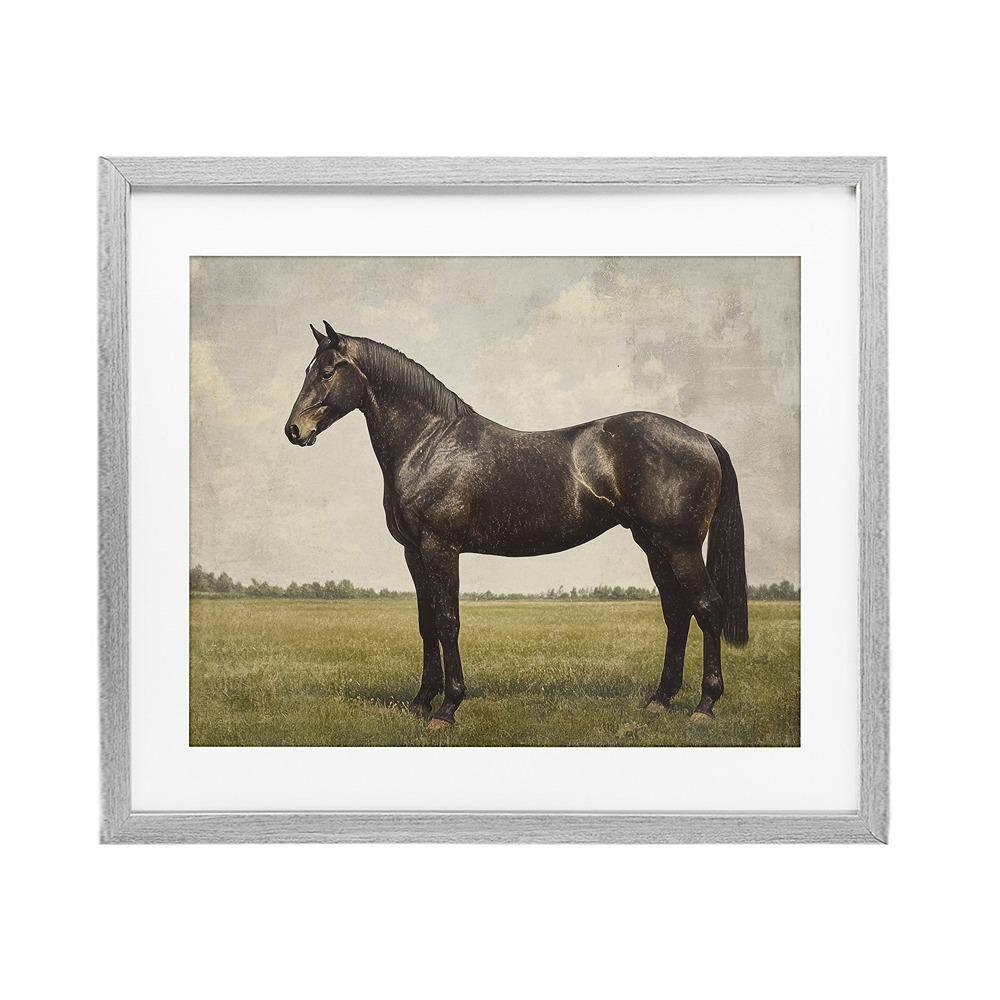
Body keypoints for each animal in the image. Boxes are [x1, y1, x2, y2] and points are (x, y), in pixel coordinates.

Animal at [285, 321, 748, 732]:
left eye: (327, 371)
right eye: (307, 369)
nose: (293, 430)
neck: (430, 443)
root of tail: (702, 437)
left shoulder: (440, 548)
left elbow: (448, 620)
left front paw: (447, 708)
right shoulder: (413, 552)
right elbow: (426, 623)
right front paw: (420, 701)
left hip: (680, 546)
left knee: (708, 608)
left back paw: (704, 706)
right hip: (654, 546)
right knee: (677, 612)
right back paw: (660, 700)